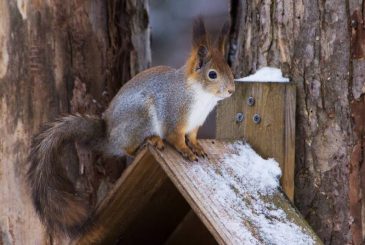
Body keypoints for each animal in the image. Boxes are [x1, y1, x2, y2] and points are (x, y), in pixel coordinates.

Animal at [27, 17, 233, 239]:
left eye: (230, 70)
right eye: (212, 74)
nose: (231, 90)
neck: (201, 96)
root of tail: (108, 137)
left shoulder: (194, 125)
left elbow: (193, 137)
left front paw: (197, 148)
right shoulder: (174, 116)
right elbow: (176, 138)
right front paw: (186, 151)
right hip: (141, 117)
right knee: (127, 149)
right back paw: (150, 142)